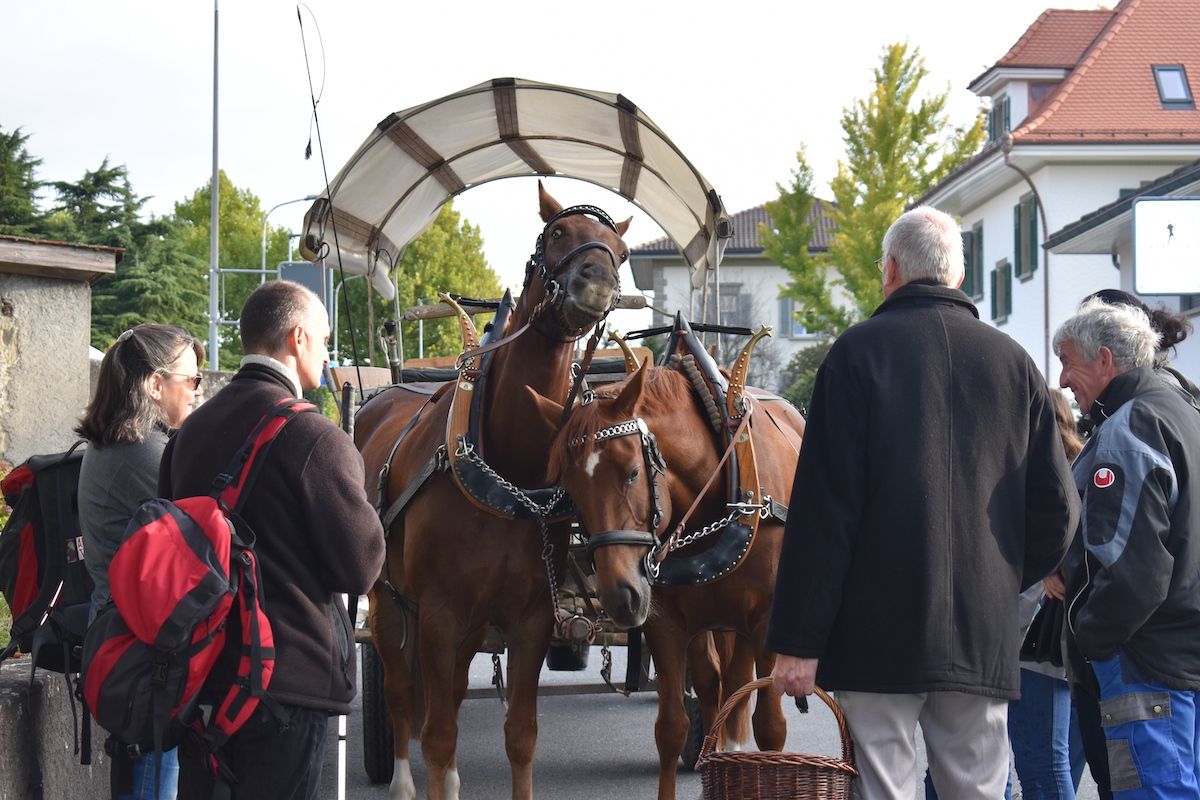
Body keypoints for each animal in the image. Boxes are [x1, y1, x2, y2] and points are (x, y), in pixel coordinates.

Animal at [354, 182, 630, 800]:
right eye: (556, 233)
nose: (597, 282)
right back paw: (401, 781)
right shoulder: (438, 613)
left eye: (621, 252)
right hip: (388, 601)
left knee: (453, 689)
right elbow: (435, 735)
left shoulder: (531, 618)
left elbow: (520, 735)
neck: (509, 472)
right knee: (403, 695)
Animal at [530, 356, 806, 800]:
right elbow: (671, 728)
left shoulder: (765, 623)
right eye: (569, 490)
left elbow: (770, 729)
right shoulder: (665, 625)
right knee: (716, 689)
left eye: (631, 473)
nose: (620, 597)